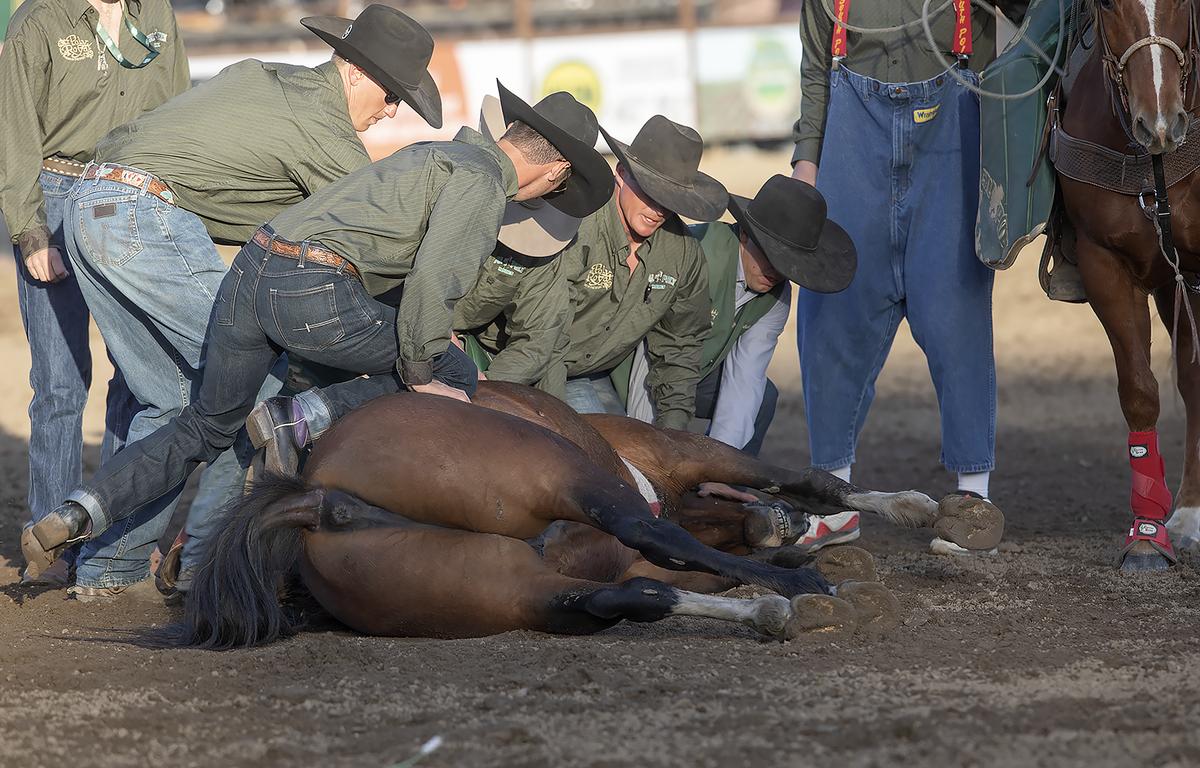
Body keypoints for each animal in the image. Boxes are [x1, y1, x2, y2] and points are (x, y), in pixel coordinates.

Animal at [168, 391, 939, 647]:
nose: (779, 525)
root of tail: (322, 498)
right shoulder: (684, 453)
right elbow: (806, 481)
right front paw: (912, 507)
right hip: (558, 477)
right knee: (648, 536)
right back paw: (806, 594)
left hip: (493, 589)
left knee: (628, 596)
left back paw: (771, 608)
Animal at [1055, 0, 1200, 570]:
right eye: (1108, 6)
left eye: (1184, 4)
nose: (1159, 124)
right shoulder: (1106, 264)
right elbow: (1140, 390)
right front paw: (1147, 535)